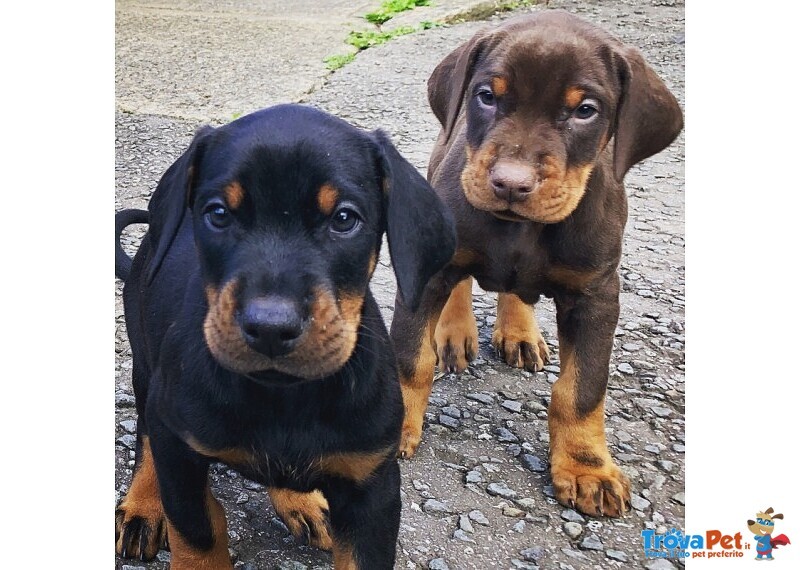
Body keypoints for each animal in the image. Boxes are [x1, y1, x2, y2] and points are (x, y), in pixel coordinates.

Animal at [113, 103, 456, 568]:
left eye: (344, 218)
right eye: (218, 214)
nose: (271, 328)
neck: (285, 398)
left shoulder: (373, 487)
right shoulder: (178, 445)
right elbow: (198, 532)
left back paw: (302, 501)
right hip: (148, 370)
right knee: (147, 432)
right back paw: (144, 507)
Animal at [388, 10, 680, 516]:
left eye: (586, 110)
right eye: (487, 96)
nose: (511, 183)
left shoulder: (596, 295)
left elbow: (582, 388)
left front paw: (586, 466)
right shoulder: (426, 271)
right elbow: (410, 357)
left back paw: (519, 331)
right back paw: (455, 331)